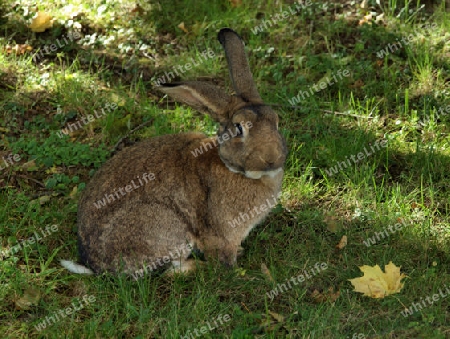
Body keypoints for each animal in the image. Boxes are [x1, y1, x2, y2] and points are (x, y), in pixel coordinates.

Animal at [59, 27, 286, 278]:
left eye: (276, 122)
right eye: (239, 129)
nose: (272, 159)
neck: (231, 168)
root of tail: (94, 265)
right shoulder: (220, 235)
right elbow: (221, 258)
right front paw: (236, 269)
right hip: (163, 225)